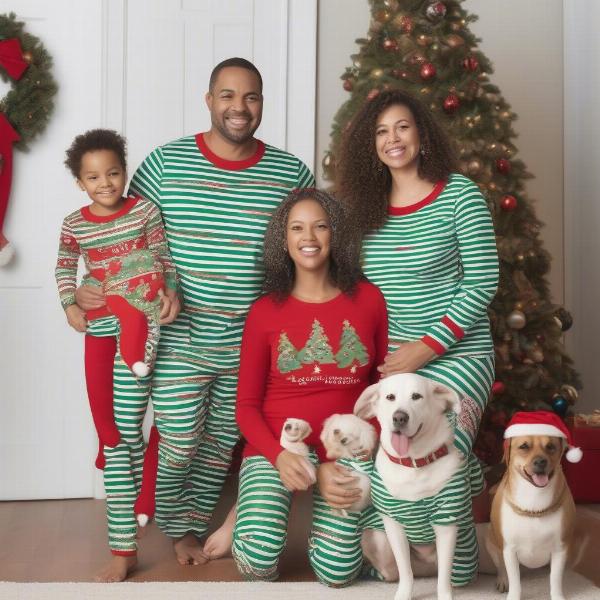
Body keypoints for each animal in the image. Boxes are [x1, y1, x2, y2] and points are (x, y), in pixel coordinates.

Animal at [356, 372, 464, 596]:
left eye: (416, 396)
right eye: (390, 397)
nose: (399, 417)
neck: (413, 464)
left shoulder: (446, 525)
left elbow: (444, 578)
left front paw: (444, 595)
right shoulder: (394, 526)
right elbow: (405, 572)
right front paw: (404, 594)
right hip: (377, 539)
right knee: (395, 572)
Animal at [488, 412, 580, 600]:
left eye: (550, 446)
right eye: (524, 446)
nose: (541, 462)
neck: (534, 499)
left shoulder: (560, 548)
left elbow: (555, 579)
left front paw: (557, 596)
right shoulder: (509, 550)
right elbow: (514, 580)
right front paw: (513, 595)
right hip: (491, 542)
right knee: (501, 568)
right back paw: (502, 580)